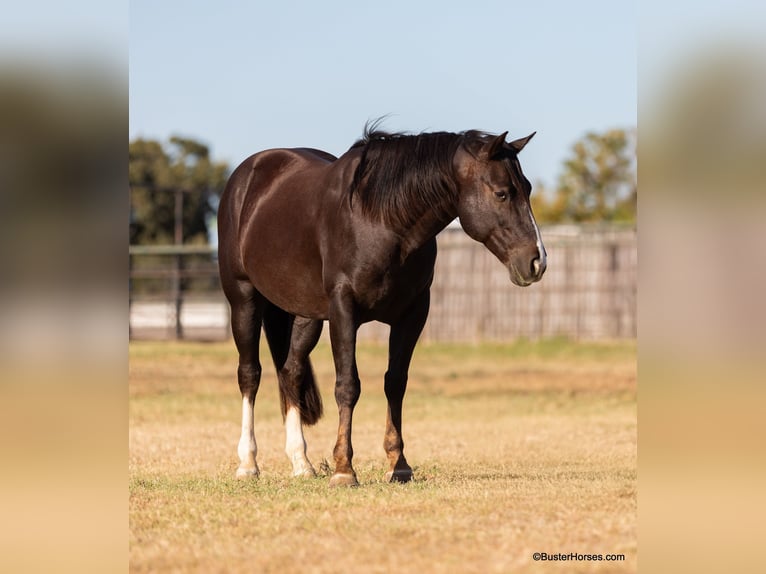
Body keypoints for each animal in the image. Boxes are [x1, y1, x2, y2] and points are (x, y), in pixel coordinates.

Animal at [217, 125, 547, 486]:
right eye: (502, 193)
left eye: (528, 188)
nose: (537, 261)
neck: (381, 221)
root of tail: (248, 174)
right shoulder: (344, 310)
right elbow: (348, 385)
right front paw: (344, 468)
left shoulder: (413, 314)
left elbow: (396, 382)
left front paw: (398, 464)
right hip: (244, 299)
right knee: (250, 374)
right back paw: (248, 463)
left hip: (306, 315)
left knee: (291, 372)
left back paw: (301, 462)